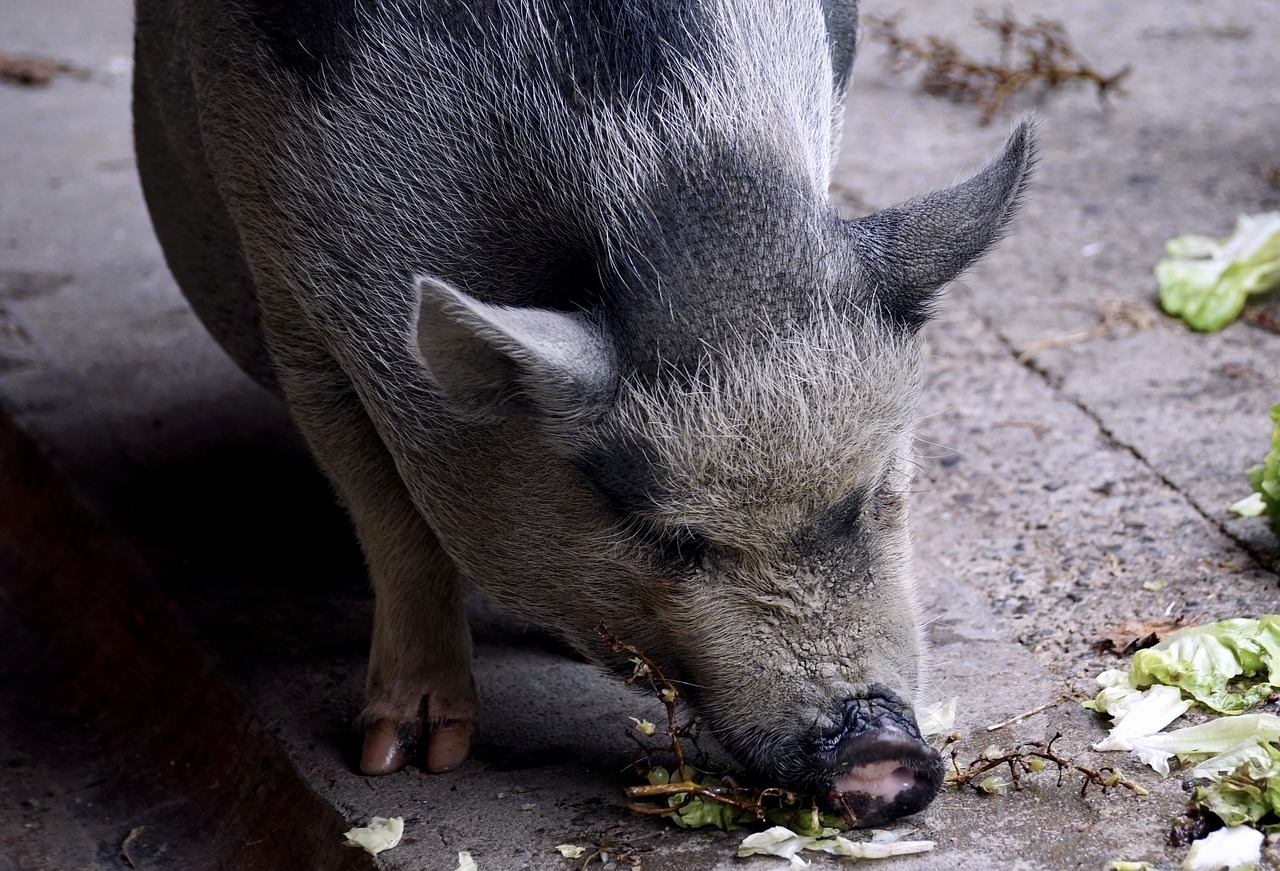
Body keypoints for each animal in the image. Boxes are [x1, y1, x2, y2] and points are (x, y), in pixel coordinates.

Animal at [129, 0, 1029, 824]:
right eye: (666, 536)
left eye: (874, 493)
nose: (881, 749)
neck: (660, 161)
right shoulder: (292, 295)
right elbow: (392, 518)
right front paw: (404, 758)